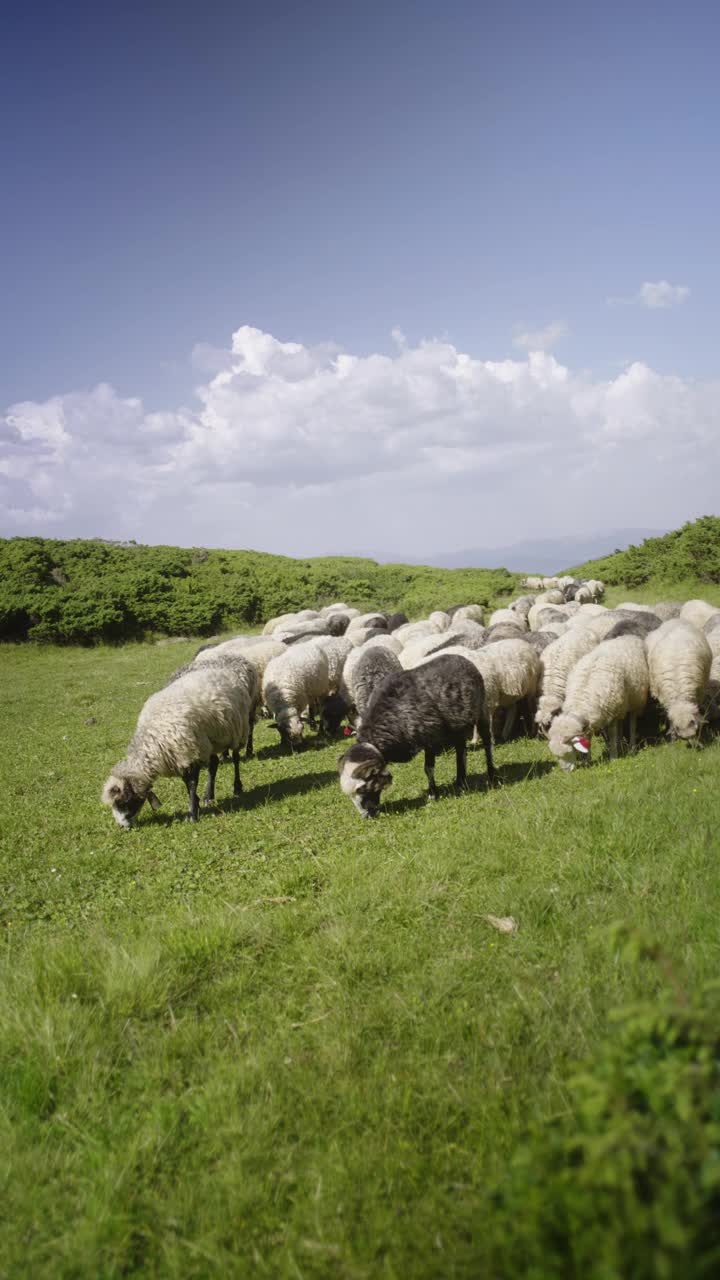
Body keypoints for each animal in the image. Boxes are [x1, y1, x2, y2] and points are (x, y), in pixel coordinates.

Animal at [102, 660, 251, 829]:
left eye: (122, 802)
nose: (121, 827)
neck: (152, 739)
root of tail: (223, 671)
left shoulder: (190, 751)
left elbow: (191, 783)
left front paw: (192, 813)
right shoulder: (182, 756)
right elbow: (187, 783)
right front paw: (197, 803)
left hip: (238, 731)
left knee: (236, 758)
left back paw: (237, 787)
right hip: (210, 740)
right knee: (213, 764)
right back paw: (209, 796)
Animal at [335, 655, 491, 814]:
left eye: (361, 788)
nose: (366, 815)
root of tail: (461, 658)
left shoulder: (430, 738)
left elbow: (428, 768)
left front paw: (433, 794)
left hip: (481, 707)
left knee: (487, 741)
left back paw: (491, 775)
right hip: (457, 724)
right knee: (461, 750)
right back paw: (461, 782)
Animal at [545, 632, 648, 768]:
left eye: (570, 751)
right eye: (556, 756)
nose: (566, 771)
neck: (582, 697)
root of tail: (630, 636)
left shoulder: (612, 713)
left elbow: (612, 733)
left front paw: (613, 757)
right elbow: (588, 737)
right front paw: (587, 760)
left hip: (636, 698)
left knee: (632, 721)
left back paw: (631, 747)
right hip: (622, 703)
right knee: (621, 723)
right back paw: (620, 744)